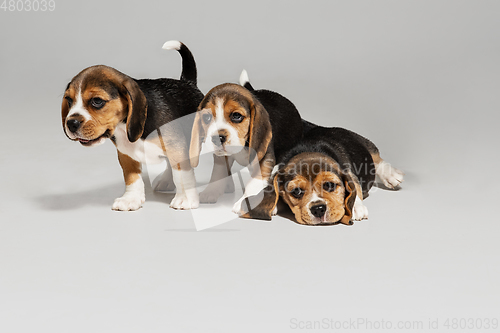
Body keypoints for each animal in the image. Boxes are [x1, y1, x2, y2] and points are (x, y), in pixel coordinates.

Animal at [61, 39, 202, 210]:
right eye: (69, 100)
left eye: (97, 101)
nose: (71, 123)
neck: (123, 127)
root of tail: (187, 82)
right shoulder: (126, 154)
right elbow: (132, 178)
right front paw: (130, 199)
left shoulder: (176, 147)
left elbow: (181, 173)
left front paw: (186, 198)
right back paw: (166, 182)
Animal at [188, 70, 302, 215]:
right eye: (207, 117)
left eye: (236, 116)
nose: (217, 138)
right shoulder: (221, 157)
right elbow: (217, 173)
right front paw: (211, 191)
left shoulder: (264, 159)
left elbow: (254, 183)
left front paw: (247, 201)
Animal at [248, 120, 404, 224]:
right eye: (297, 191)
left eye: (329, 185)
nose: (318, 209)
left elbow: (355, 187)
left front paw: (354, 207)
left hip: (364, 143)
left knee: (376, 157)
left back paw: (391, 175)